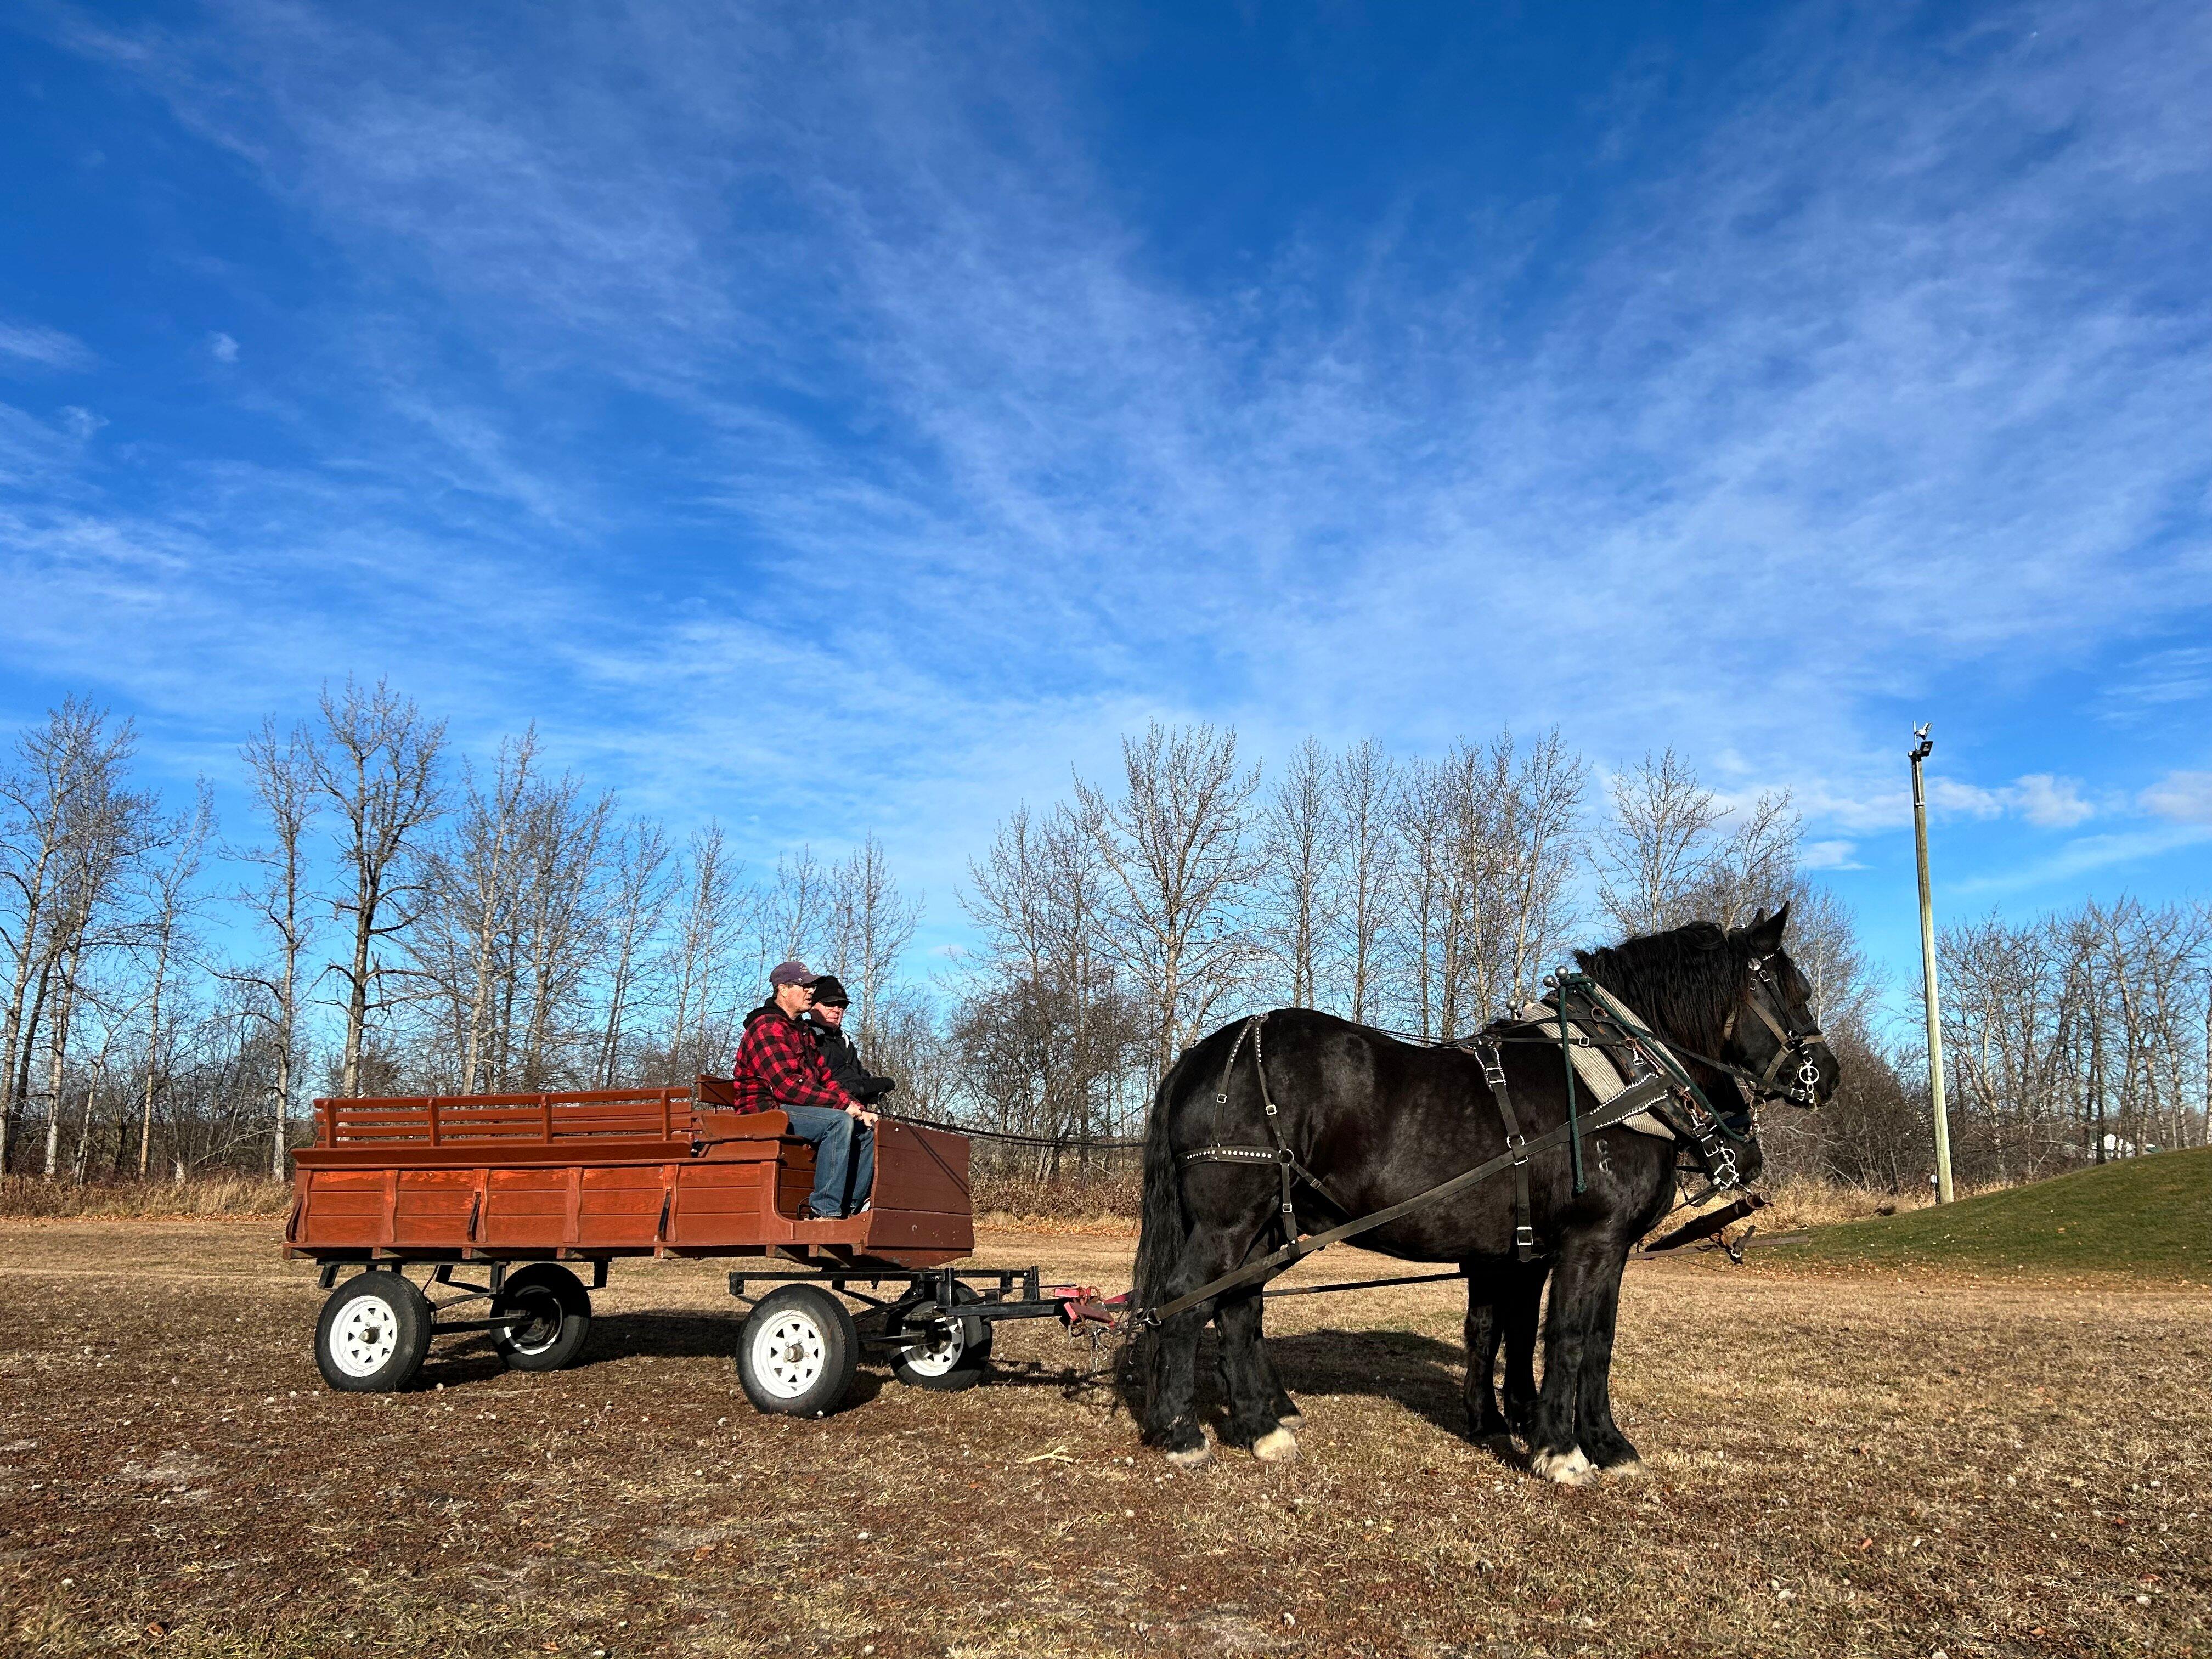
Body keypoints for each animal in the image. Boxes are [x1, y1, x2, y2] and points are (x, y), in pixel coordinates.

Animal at [1128, 905, 1838, 1483]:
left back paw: (1261, 1427)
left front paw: (1601, 1442)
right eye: (1794, 991)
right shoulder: (1589, 1240)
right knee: (1185, 1302)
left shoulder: (1552, 1253)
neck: (1616, 1079)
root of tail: (1202, 1055)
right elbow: (1568, 1335)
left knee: (1238, 1307)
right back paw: (1185, 1434)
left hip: (1267, 1227)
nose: (1826, 1076)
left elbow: (1570, 1338)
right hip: (1229, 1222)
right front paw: (1560, 1450)